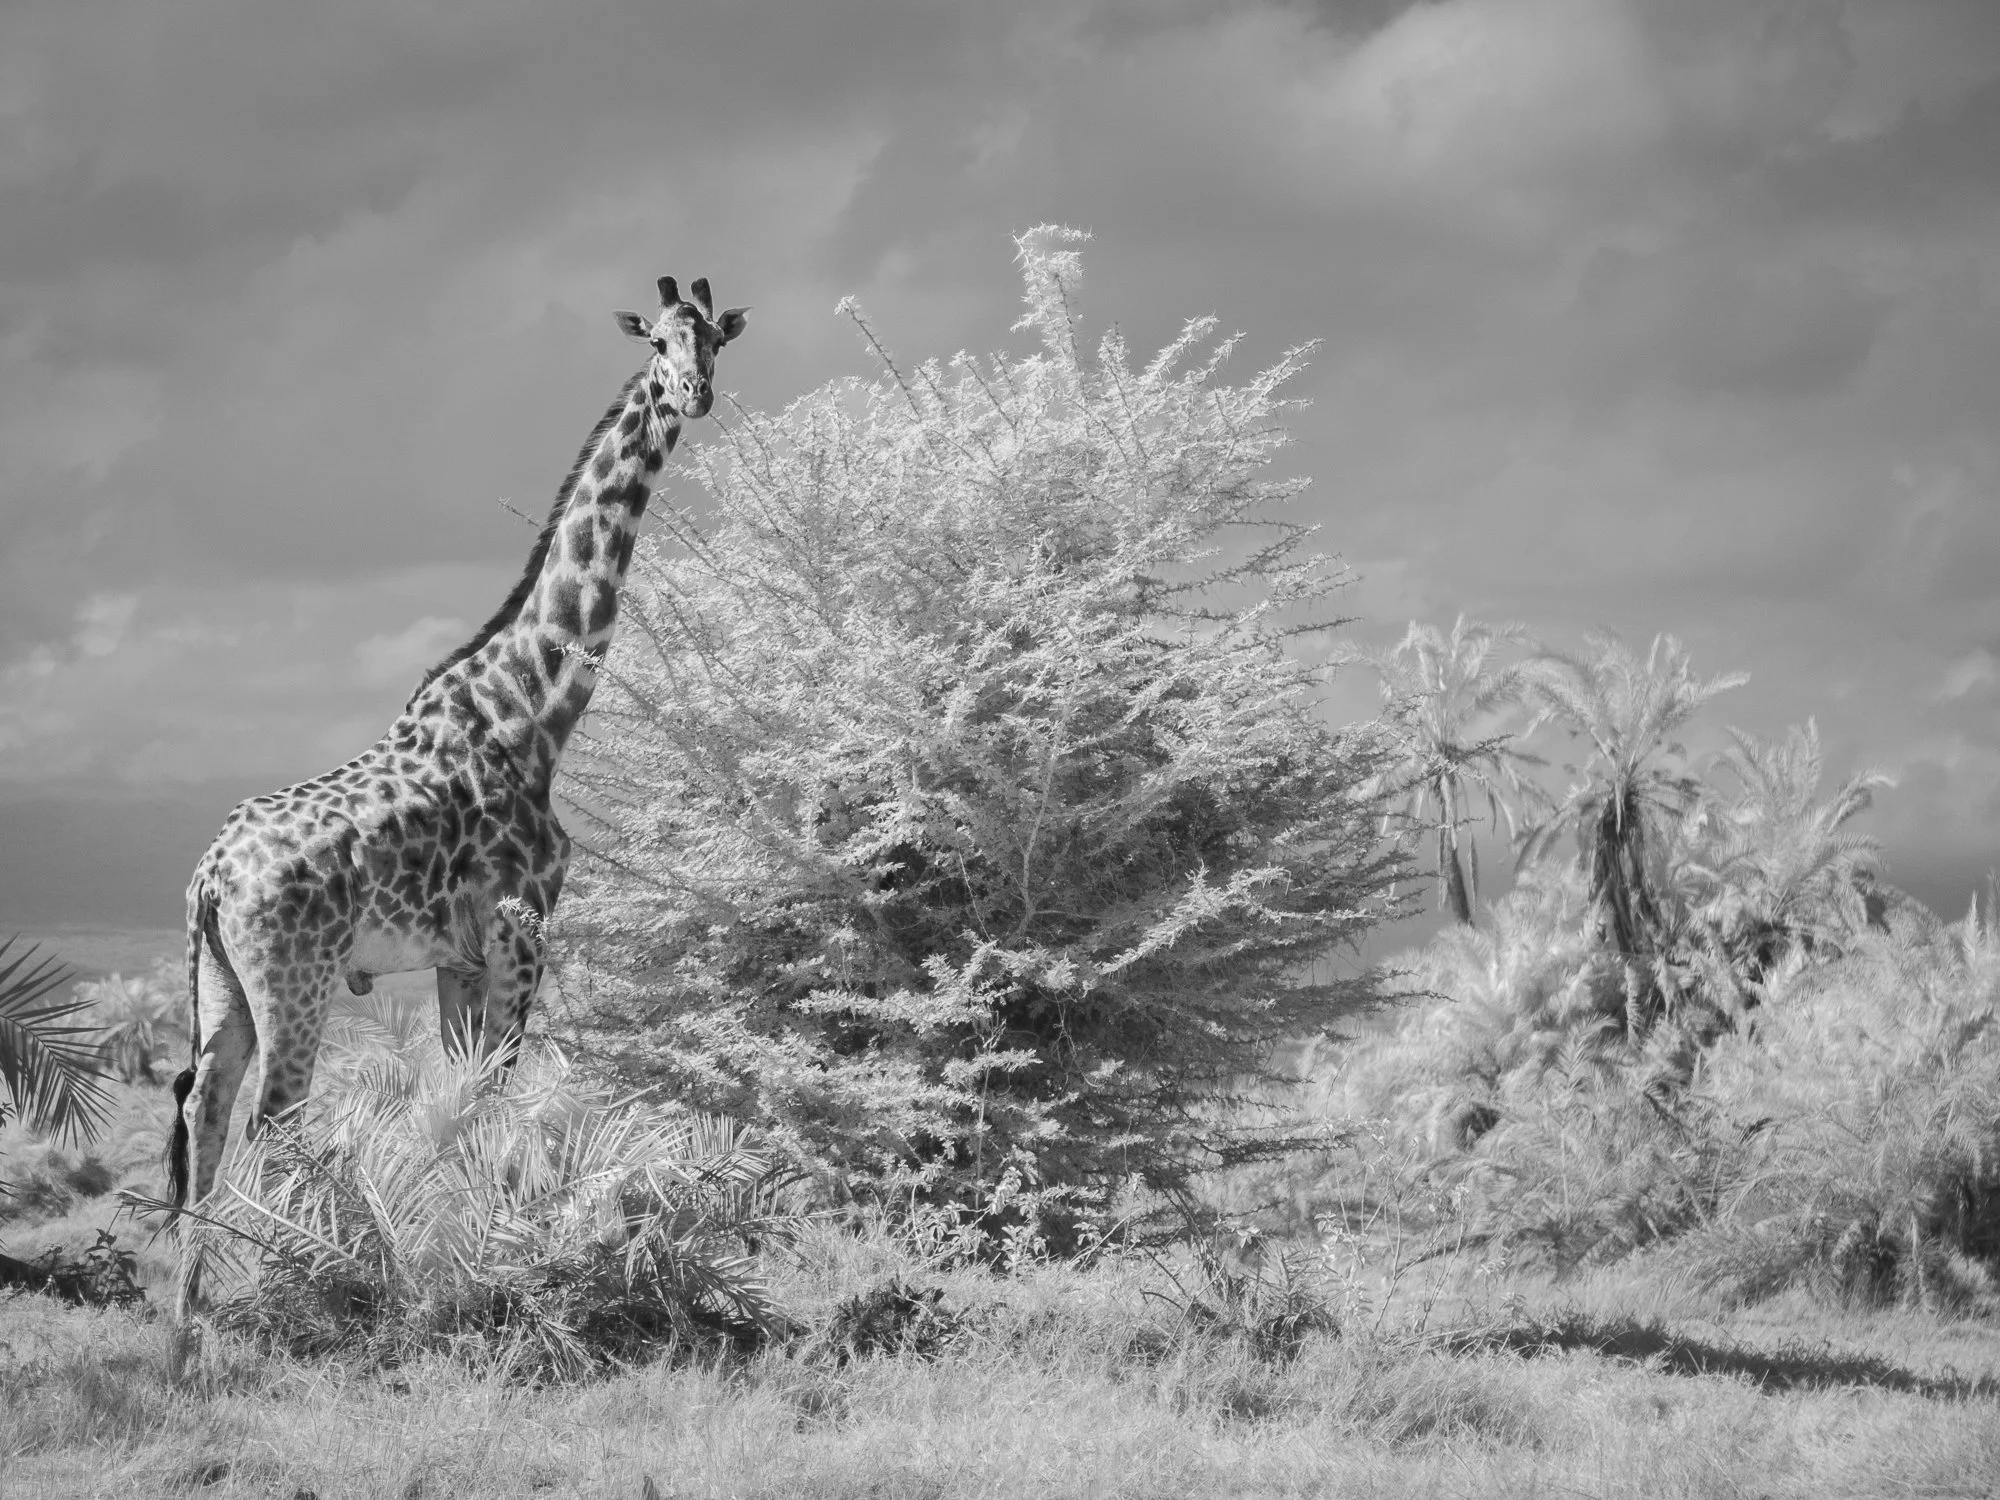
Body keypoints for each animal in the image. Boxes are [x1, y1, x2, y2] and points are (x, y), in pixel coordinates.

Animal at [165, 275, 747, 1333]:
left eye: (712, 342)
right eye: (655, 343)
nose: (694, 394)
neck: (533, 708)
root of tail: (211, 877)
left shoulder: (457, 957)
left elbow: (464, 1100)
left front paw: (466, 1269)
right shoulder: (523, 928)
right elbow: (496, 1103)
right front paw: (493, 1276)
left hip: (221, 984)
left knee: (206, 1108)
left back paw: (188, 1324)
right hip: (296, 981)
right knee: (276, 1120)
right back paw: (277, 1292)